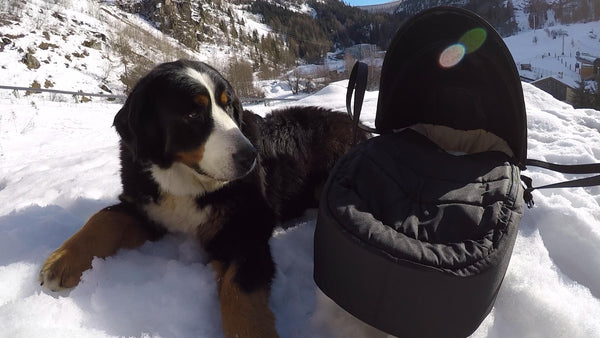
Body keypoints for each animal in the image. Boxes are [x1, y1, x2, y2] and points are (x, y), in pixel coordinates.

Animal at [39, 59, 368, 336]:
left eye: (228, 105)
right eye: (192, 113)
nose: (250, 156)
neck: (184, 180)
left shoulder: (246, 228)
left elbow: (240, 294)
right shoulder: (146, 207)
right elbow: (104, 218)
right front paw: (62, 261)